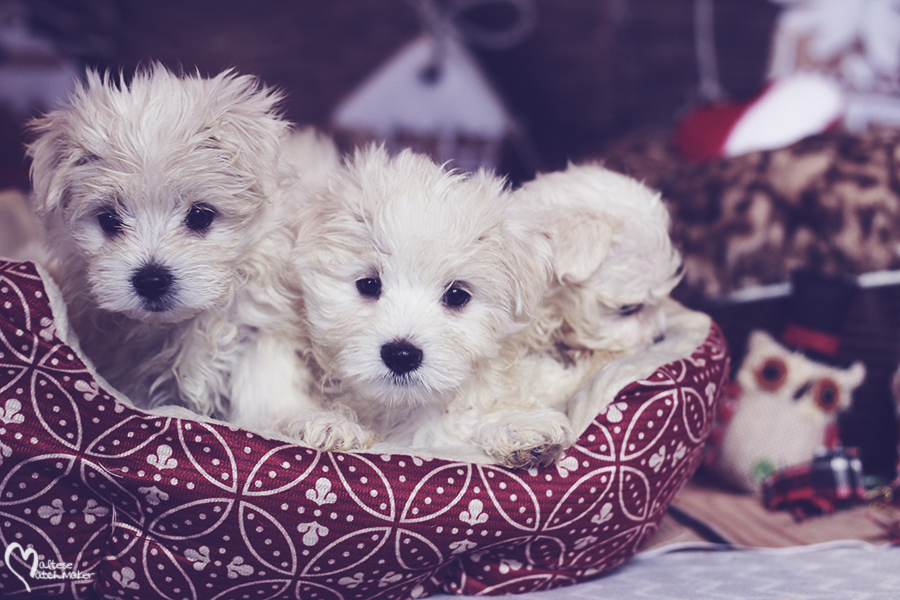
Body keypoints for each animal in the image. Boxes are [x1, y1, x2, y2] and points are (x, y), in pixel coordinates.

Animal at [27, 64, 334, 432]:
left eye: (200, 216)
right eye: (109, 220)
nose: (151, 280)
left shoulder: (263, 322)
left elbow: (264, 383)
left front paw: (299, 420)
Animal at [290, 148, 576, 466]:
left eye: (456, 295)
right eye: (369, 284)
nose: (401, 355)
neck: (411, 409)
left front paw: (521, 428)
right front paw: (331, 423)